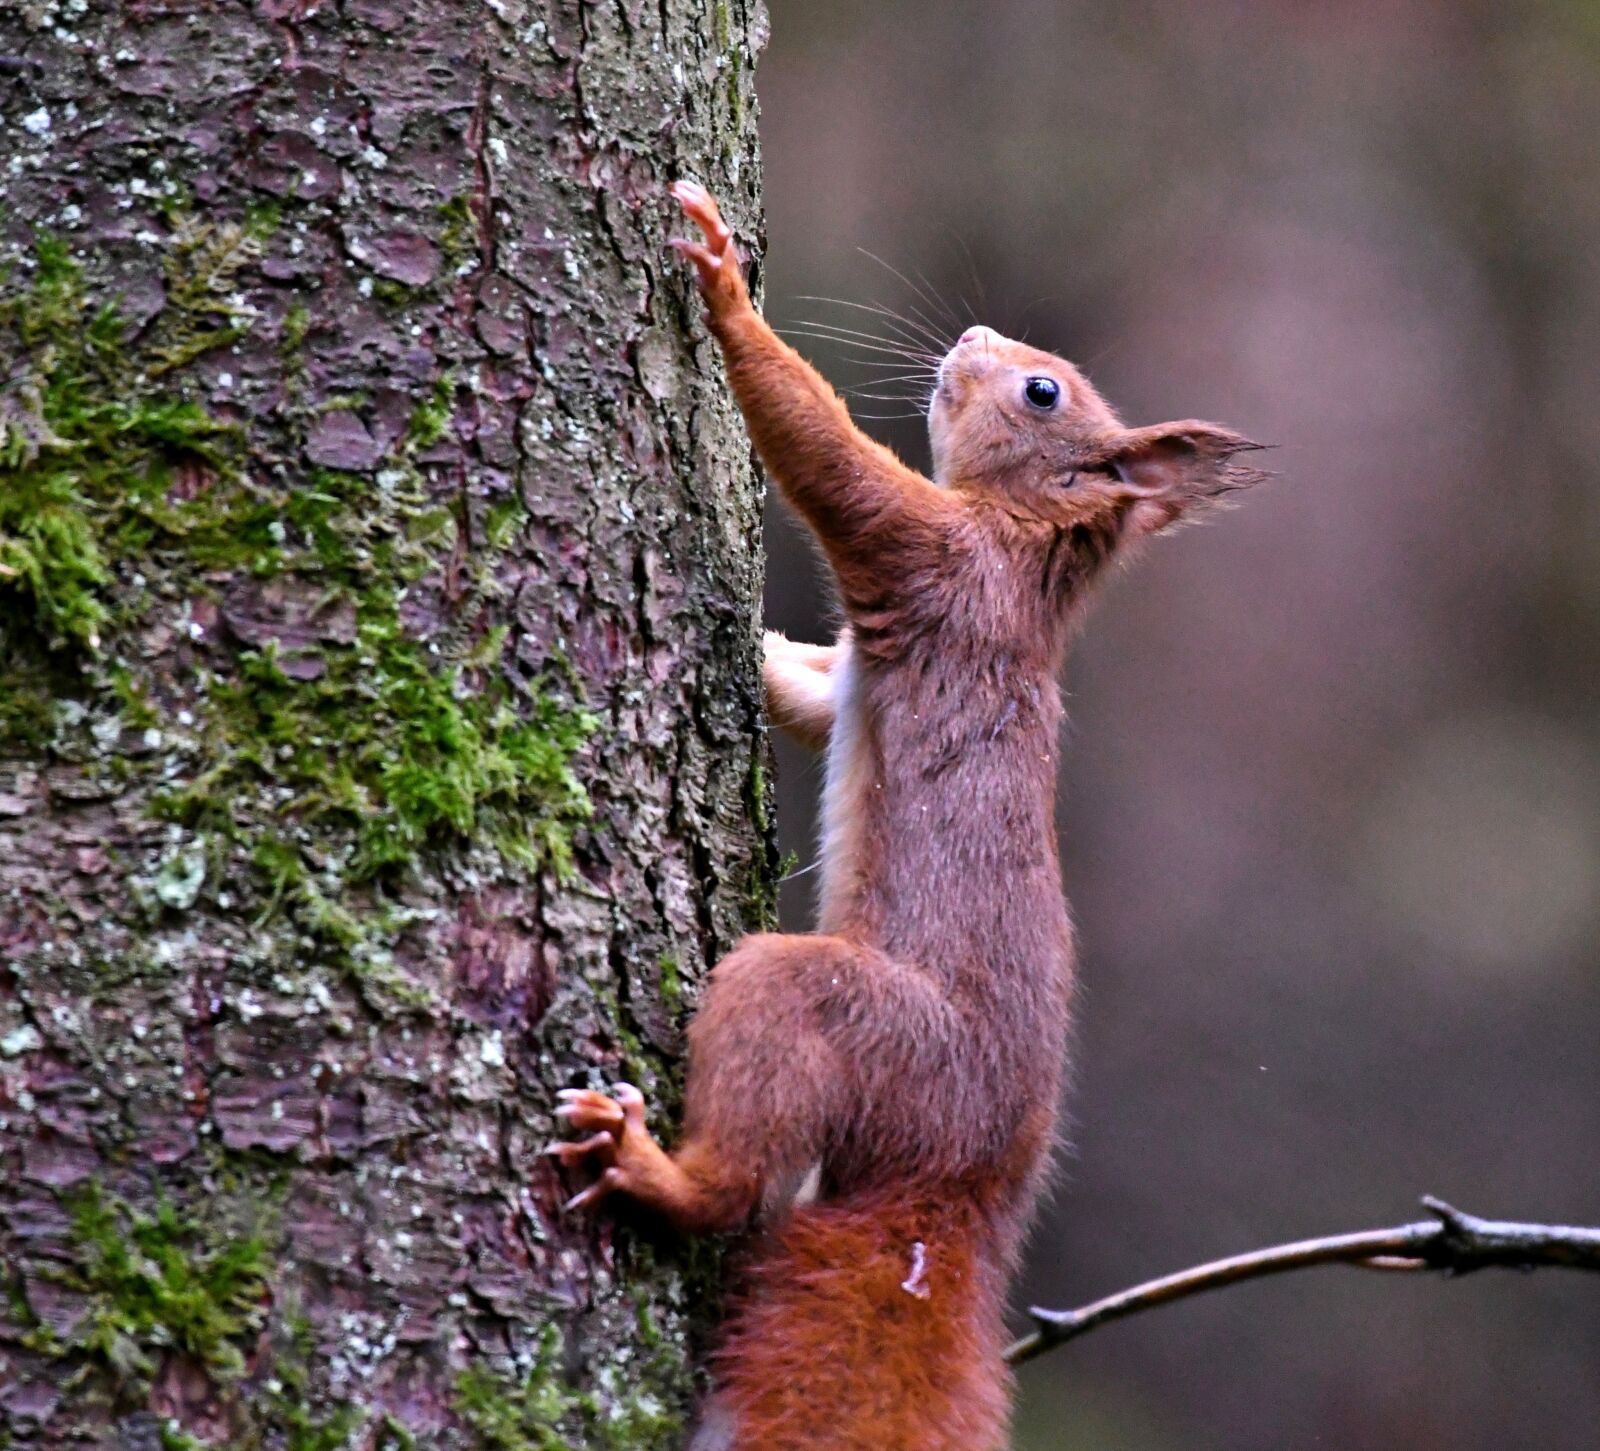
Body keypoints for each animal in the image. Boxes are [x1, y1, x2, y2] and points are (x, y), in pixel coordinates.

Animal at [549, 181, 1265, 1451]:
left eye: (1043, 392)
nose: (974, 336)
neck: (1026, 551)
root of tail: (961, 1193)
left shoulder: (933, 558)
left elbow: (828, 458)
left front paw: (725, 288)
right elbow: (810, 690)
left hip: (857, 1020)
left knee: (742, 1167)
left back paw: (652, 1167)